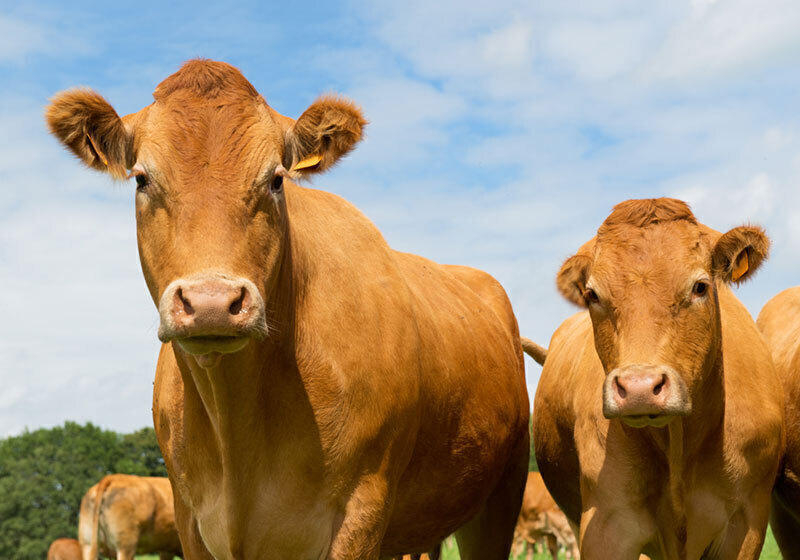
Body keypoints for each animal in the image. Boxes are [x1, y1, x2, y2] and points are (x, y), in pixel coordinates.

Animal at [46, 59, 530, 559]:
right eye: (142, 178)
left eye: (277, 179)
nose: (211, 303)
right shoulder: (189, 518)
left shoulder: (363, 510)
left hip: (500, 495)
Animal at [531, 198, 784, 559]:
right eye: (593, 295)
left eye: (700, 286)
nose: (640, 388)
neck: (679, 445)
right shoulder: (606, 523)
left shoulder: (746, 523)